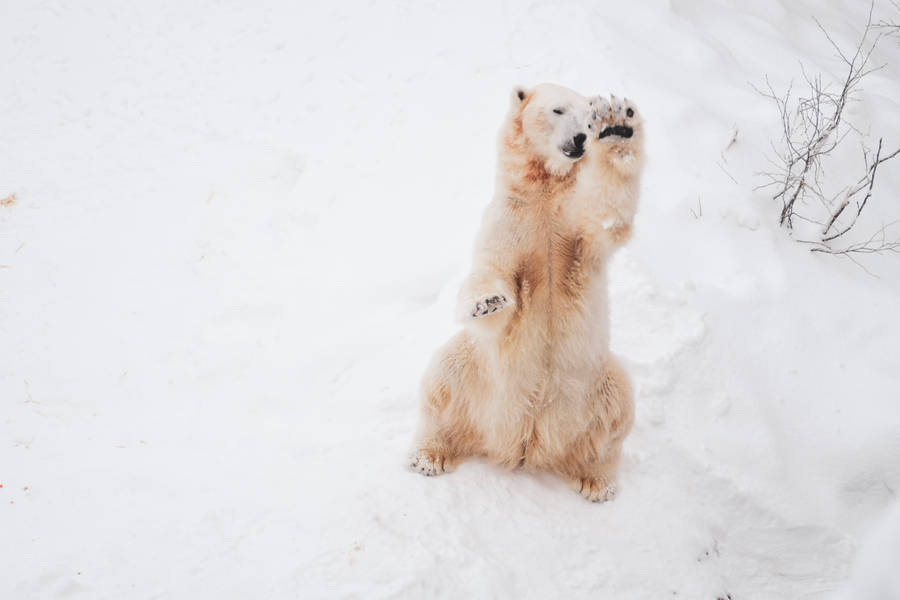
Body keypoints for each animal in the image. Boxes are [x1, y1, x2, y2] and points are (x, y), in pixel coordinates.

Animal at [410, 83, 645, 502]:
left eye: (588, 114)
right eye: (558, 109)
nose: (581, 138)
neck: (546, 190)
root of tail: (526, 442)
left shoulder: (573, 227)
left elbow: (606, 213)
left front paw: (618, 125)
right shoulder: (510, 219)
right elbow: (493, 268)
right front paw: (488, 302)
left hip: (596, 382)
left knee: (614, 416)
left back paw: (596, 482)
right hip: (476, 371)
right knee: (443, 382)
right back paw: (430, 455)